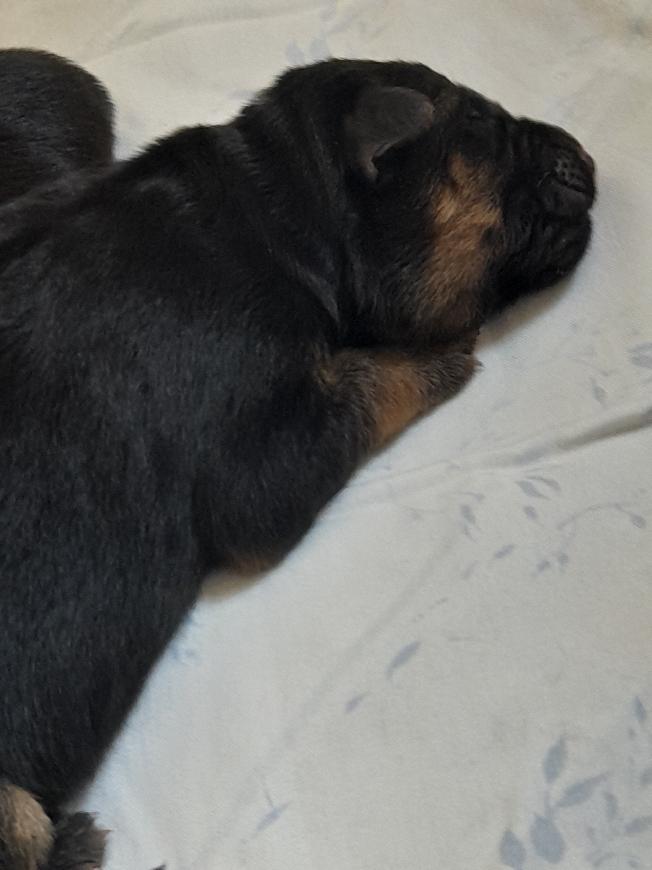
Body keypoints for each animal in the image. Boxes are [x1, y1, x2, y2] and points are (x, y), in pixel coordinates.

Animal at [0, 55, 595, 868]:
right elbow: (373, 379)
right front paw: (440, 357)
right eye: (486, 136)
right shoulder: (262, 463)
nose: (586, 159)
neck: (269, 206)